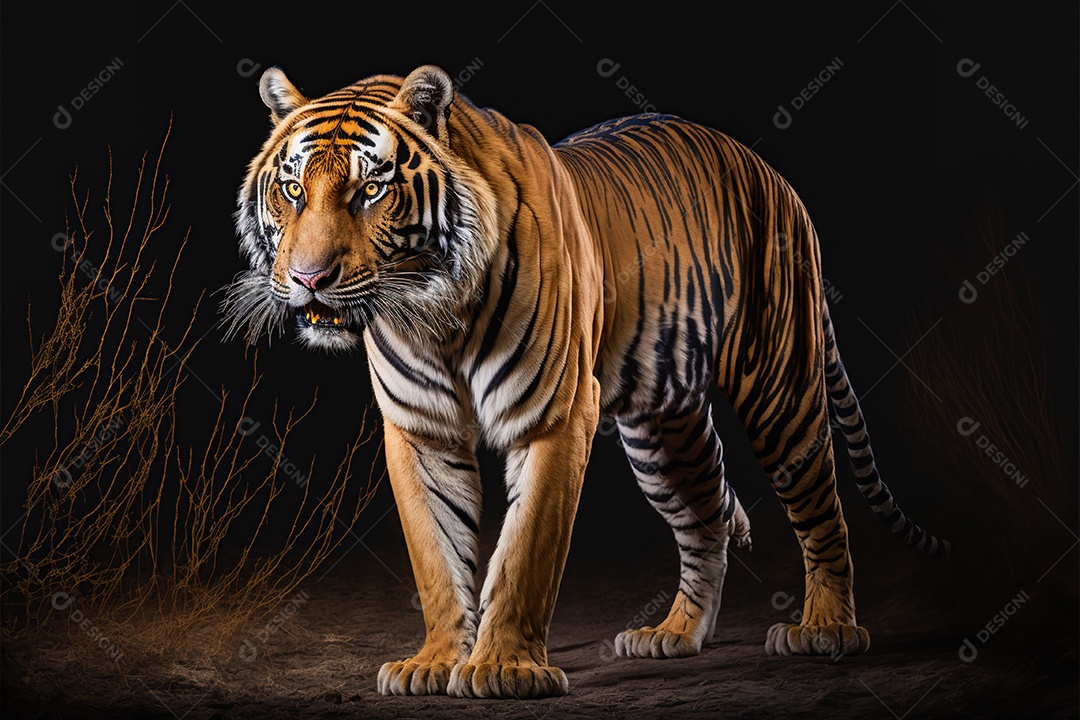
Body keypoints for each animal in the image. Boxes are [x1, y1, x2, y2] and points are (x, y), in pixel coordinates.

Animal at [223, 64, 948, 699]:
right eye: (293, 190)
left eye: (369, 191)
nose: (308, 278)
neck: (433, 315)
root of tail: (771, 175)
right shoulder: (420, 430)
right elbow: (435, 554)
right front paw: (433, 663)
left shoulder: (554, 413)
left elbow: (525, 552)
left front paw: (503, 670)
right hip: (663, 429)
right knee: (707, 518)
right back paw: (674, 633)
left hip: (780, 389)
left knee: (822, 510)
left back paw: (826, 629)